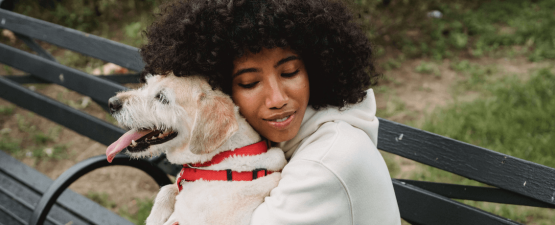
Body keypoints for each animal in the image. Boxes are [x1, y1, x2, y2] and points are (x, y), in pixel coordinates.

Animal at [105, 73, 286, 224]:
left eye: (162, 98)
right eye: (147, 84)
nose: (112, 103)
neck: (219, 161)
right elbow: (166, 189)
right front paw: (155, 217)